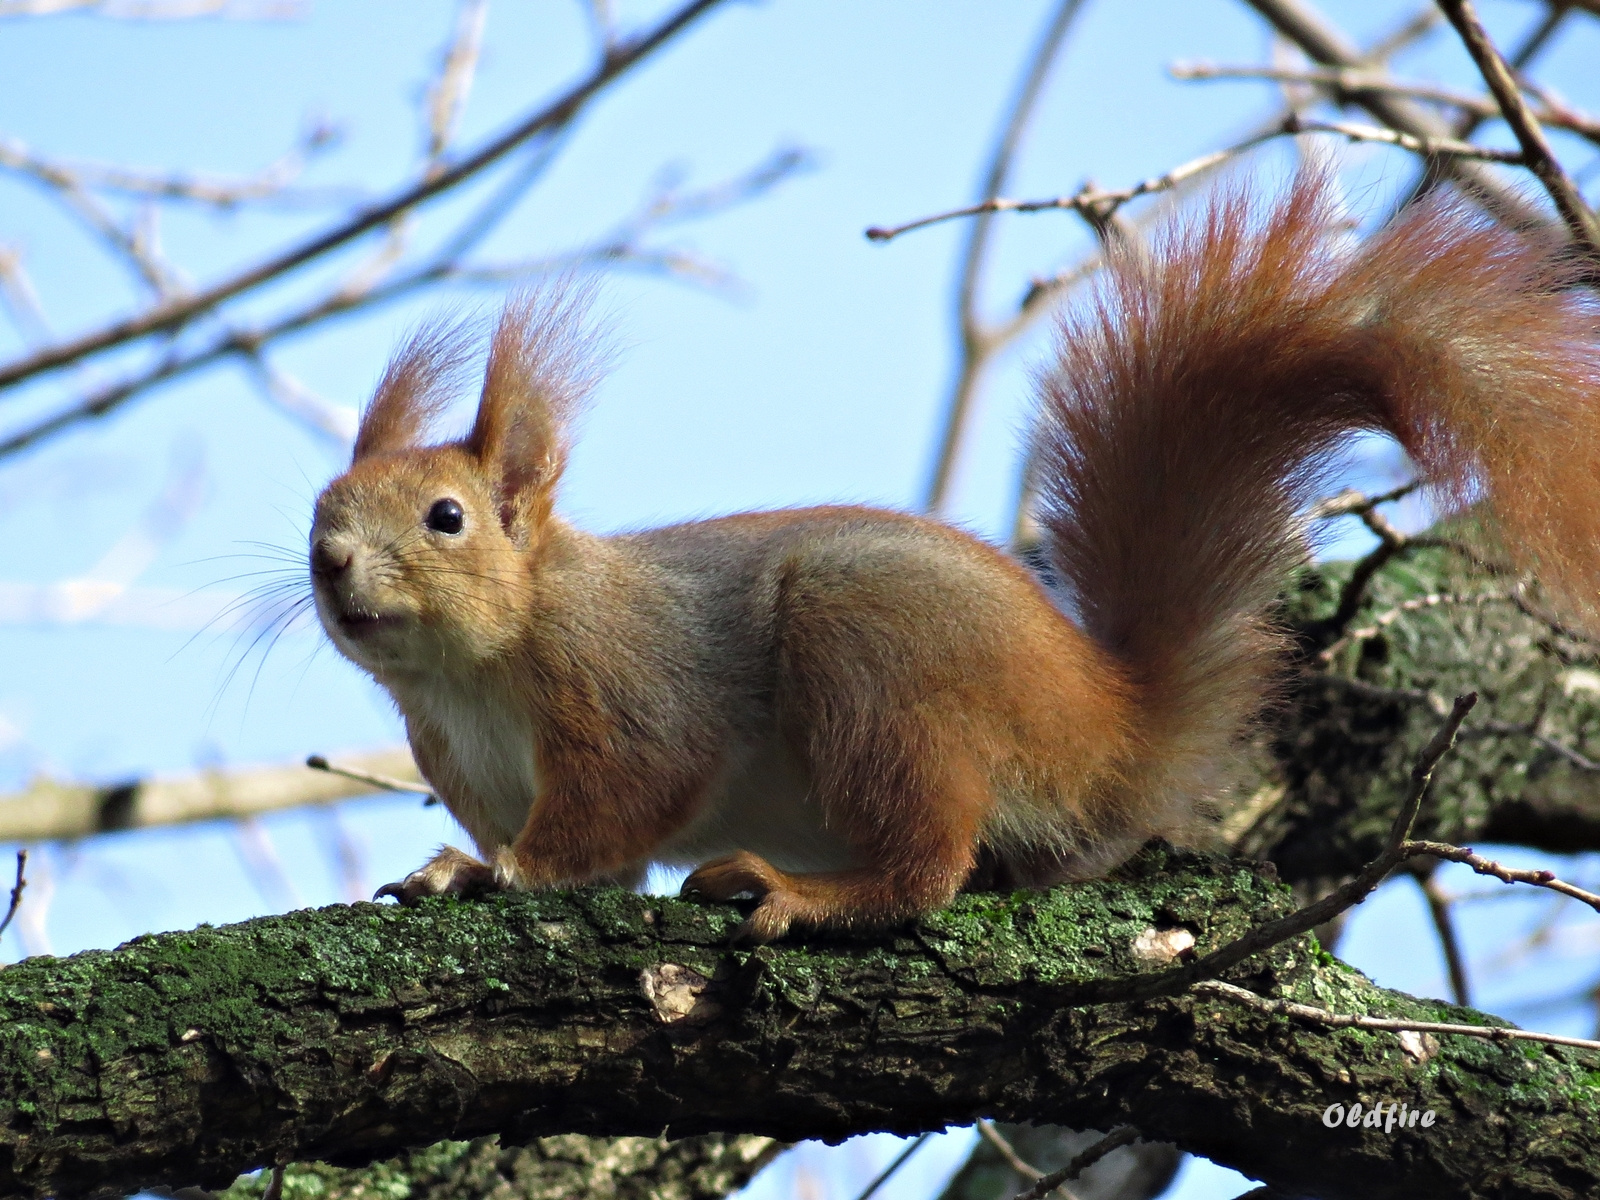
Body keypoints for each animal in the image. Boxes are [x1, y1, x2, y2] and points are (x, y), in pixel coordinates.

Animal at [305, 173, 1600, 947]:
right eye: (318, 508)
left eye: (446, 518)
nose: (328, 565)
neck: (474, 673)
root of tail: (1109, 721)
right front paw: (459, 872)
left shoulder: (630, 689)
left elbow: (614, 809)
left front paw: (499, 875)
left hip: (871, 654)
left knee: (925, 864)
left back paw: (801, 894)